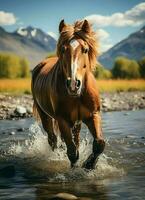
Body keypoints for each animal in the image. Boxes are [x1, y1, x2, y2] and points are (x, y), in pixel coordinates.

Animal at [31, 19, 105, 170]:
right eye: (63, 49)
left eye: (85, 50)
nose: (73, 85)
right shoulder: (62, 120)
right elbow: (72, 152)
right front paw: (75, 169)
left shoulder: (93, 115)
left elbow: (99, 144)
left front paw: (89, 165)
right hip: (45, 115)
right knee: (53, 139)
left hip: (77, 122)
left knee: (74, 139)